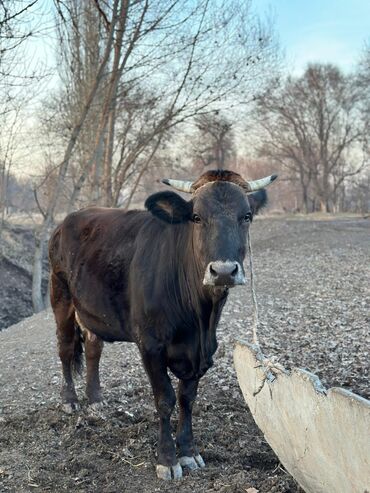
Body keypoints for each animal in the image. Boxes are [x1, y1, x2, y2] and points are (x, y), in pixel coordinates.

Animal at [48, 168, 278, 476]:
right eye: (196, 217)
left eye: (247, 216)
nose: (223, 271)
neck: (199, 320)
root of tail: (70, 219)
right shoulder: (150, 344)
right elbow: (165, 399)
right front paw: (167, 460)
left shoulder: (203, 352)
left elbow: (187, 399)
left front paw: (189, 453)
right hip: (60, 294)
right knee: (64, 348)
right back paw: (70, 400)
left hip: (91, 309)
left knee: (94, 348)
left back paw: (95, 399)